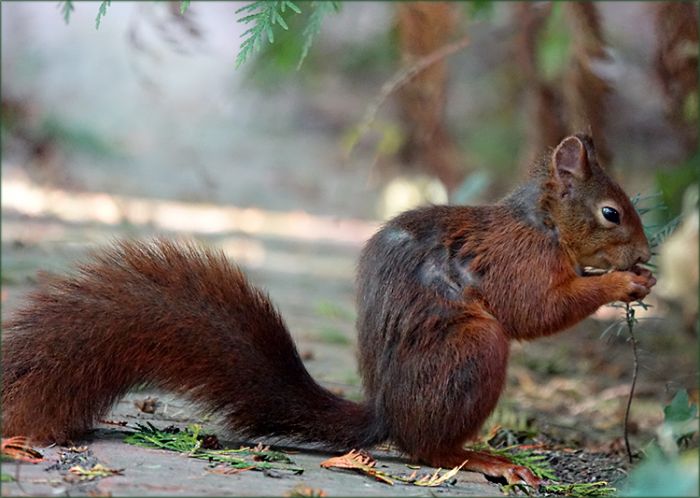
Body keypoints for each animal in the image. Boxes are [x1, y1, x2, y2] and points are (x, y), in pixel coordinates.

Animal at [2, 134, 655, 488]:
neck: (542, 224)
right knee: (428, 449)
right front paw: (622, 283)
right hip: (473, 351)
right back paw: (482, 458)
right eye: (611, 213)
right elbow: (535, 310)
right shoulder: (516, 260)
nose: (647, 255)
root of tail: (388, 415)